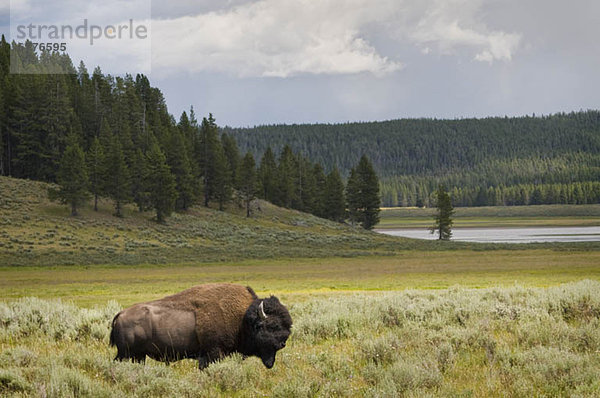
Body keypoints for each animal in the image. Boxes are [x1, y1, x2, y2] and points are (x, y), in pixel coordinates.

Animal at [112, 282, 292, 370]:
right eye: (272, 326)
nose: (282, 343)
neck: (242, 319)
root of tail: (120, 314)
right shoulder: (213, 353)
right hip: (127, 354)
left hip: (138, 356)